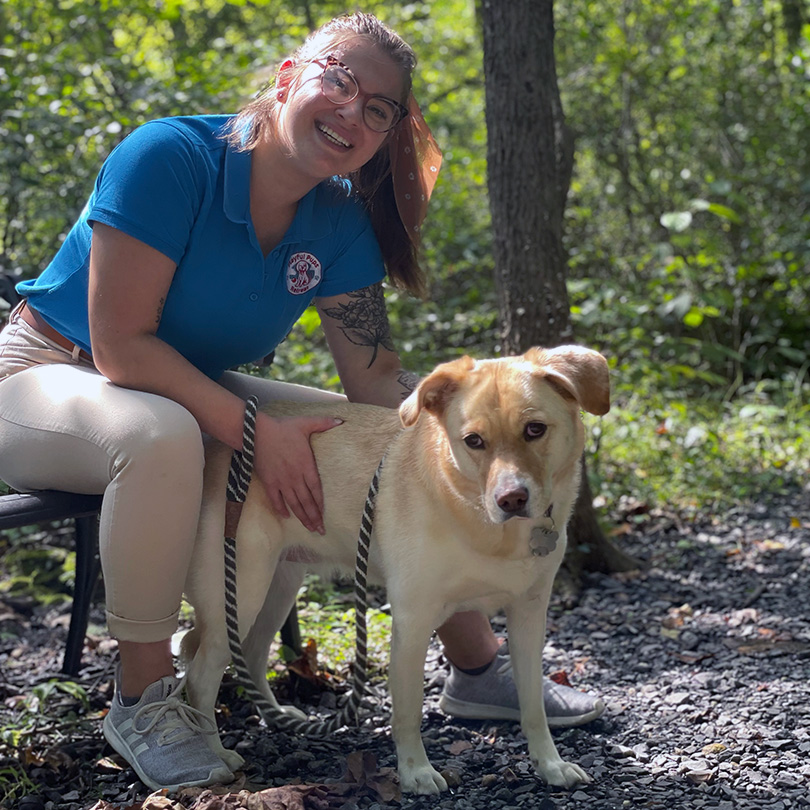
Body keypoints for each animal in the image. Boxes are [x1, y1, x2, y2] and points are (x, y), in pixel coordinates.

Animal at [181, 344, 608, 792]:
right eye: (473, 441)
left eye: (535, 429)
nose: (511, 499)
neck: (481, 522)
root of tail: (214, 448)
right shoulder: (413, 621)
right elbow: (408, 710)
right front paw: (415, 771)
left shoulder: (528, 615)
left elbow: (533, 706)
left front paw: (550, 764)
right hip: (242, 591)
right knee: (200, 676)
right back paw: (214, 754)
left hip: (276, 589)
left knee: (250, 654)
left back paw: (277, 717)